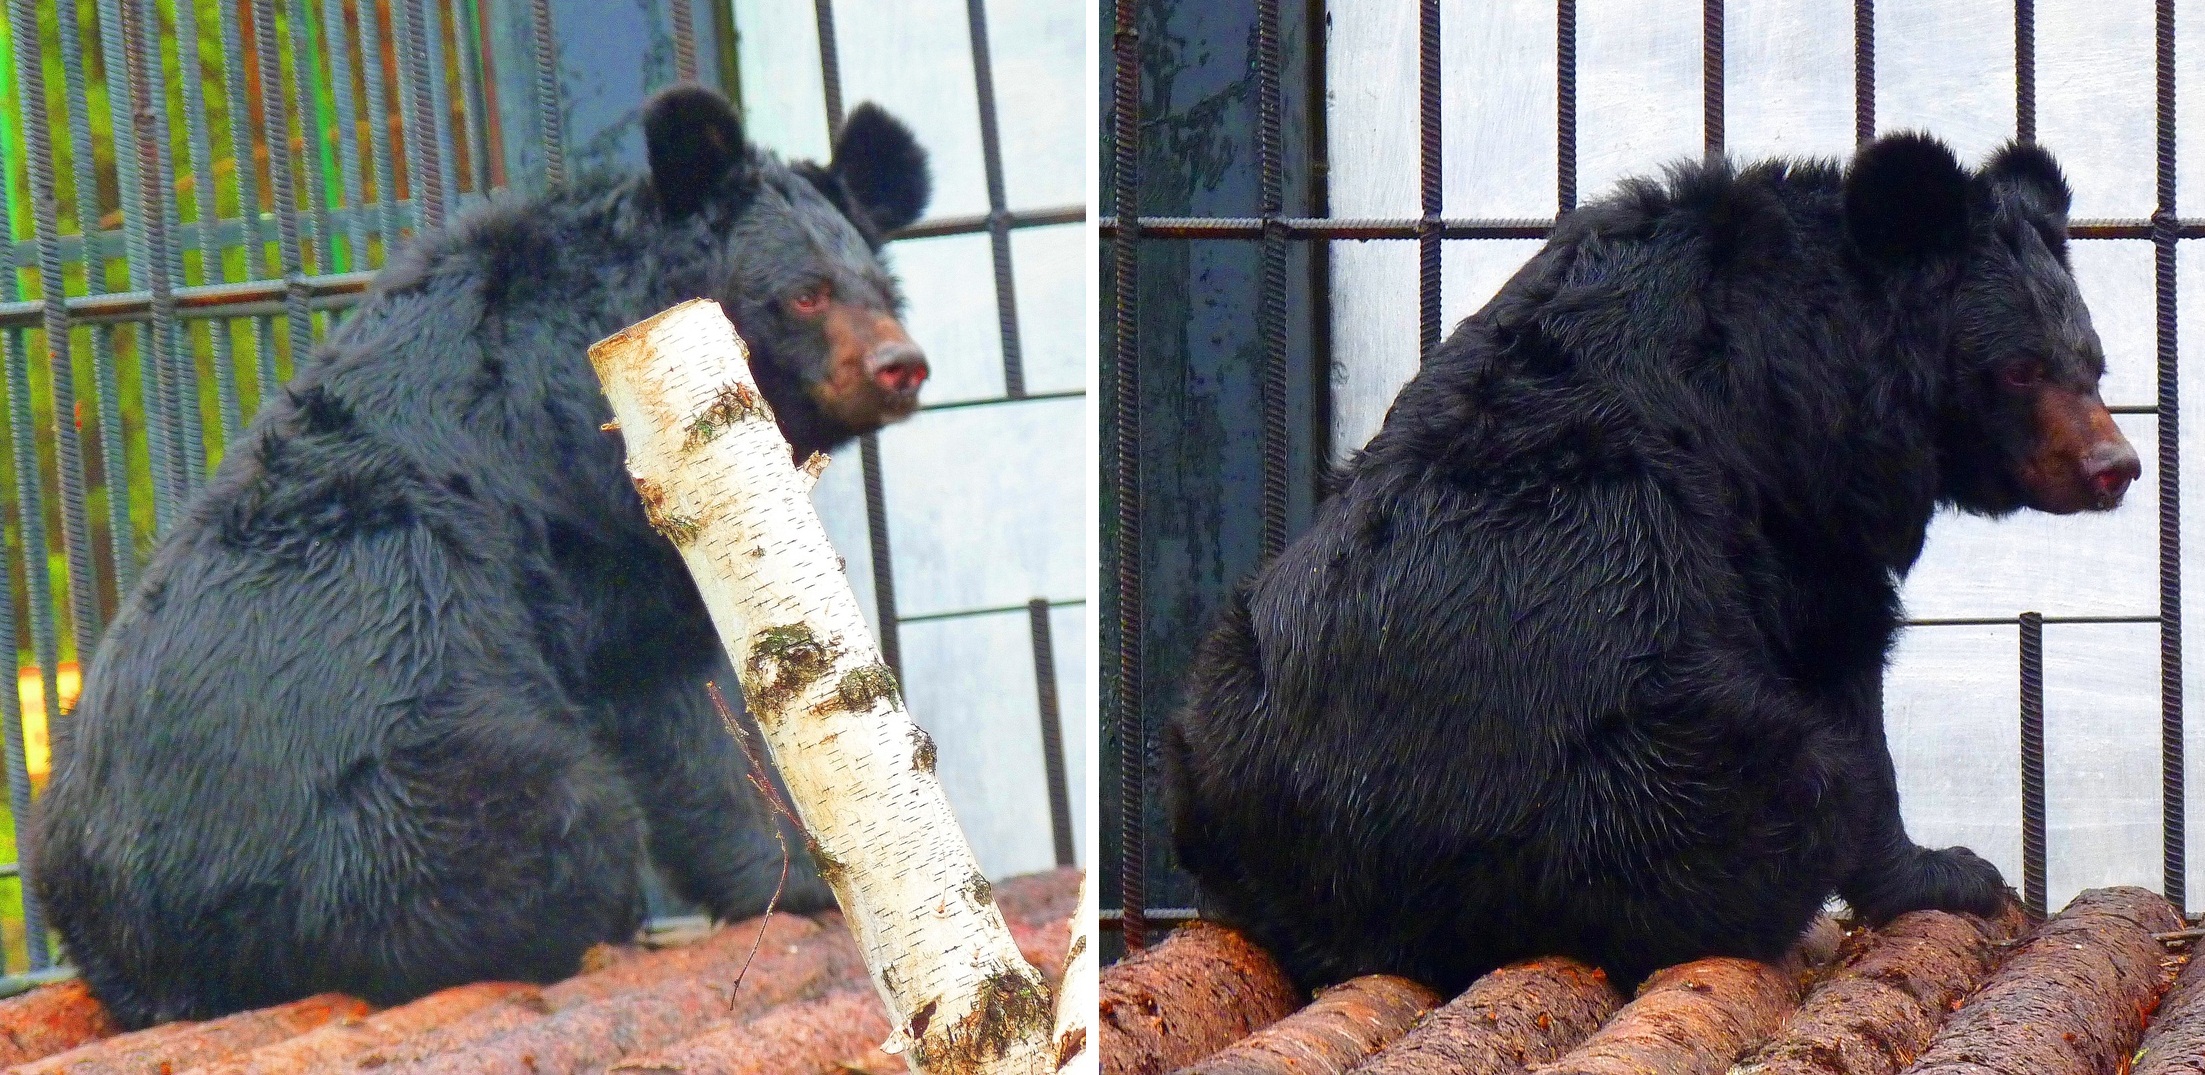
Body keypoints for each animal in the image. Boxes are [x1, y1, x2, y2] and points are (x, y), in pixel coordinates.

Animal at [30, 85, 933, 1026]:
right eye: (806, 295)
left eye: (881, 290)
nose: (900, 366)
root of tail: (141, 924)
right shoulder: (589, 506)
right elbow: (663, 689)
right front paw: (800, 878)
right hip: (412, 800)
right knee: (558, 823)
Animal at [1164, 133, 2139, 996]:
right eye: (2019, 370)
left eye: (2092, 363)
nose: (2114, 467)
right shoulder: (1794, 489)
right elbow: (1840, 655)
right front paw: (1953, 871)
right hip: (1651, 774)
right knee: (1792, 785)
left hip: (1218, 700)